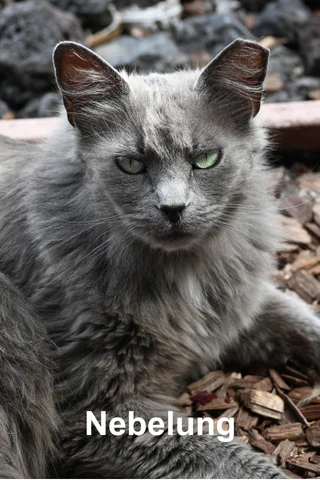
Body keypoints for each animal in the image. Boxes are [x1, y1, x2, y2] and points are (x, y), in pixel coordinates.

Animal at [0, 39, 320, 478]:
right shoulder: (103, 410)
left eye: (206, 160)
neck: (185, 273)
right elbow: (232, 460)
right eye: (131, 164)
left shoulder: (241, 310)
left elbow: (304, 322)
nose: (173, 208)